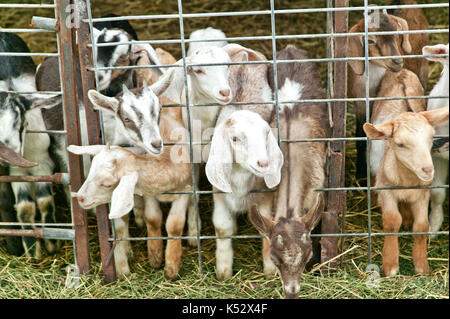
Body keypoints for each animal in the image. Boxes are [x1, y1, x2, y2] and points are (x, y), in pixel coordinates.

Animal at [364, 108, 448, 278]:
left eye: (431, 137)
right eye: (400, 144)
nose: (428, 170)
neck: (407, 180)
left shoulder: (423, 193)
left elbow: (422, 225)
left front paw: (422, 266)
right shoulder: (386, 190)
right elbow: (392, 221)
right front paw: (390, 266)